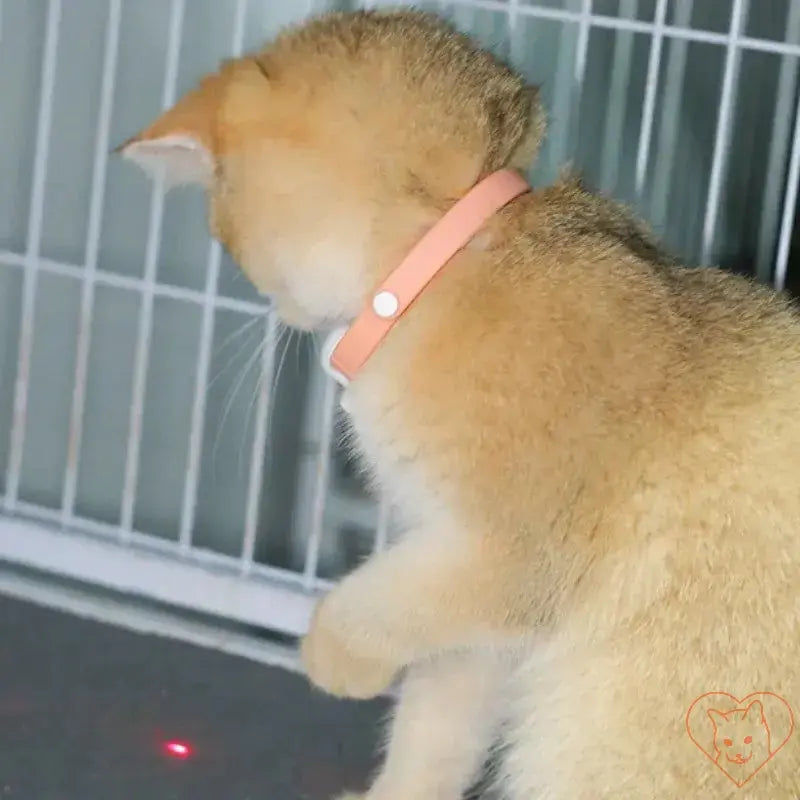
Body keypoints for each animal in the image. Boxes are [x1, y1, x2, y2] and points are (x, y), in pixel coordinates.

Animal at [120, 9, 800, 796]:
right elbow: (435, 726)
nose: (271, 304)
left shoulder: (501, 558)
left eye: (220, 227)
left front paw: (332, 658)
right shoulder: (470, 611)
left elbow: (368, 605)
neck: (441, 264)